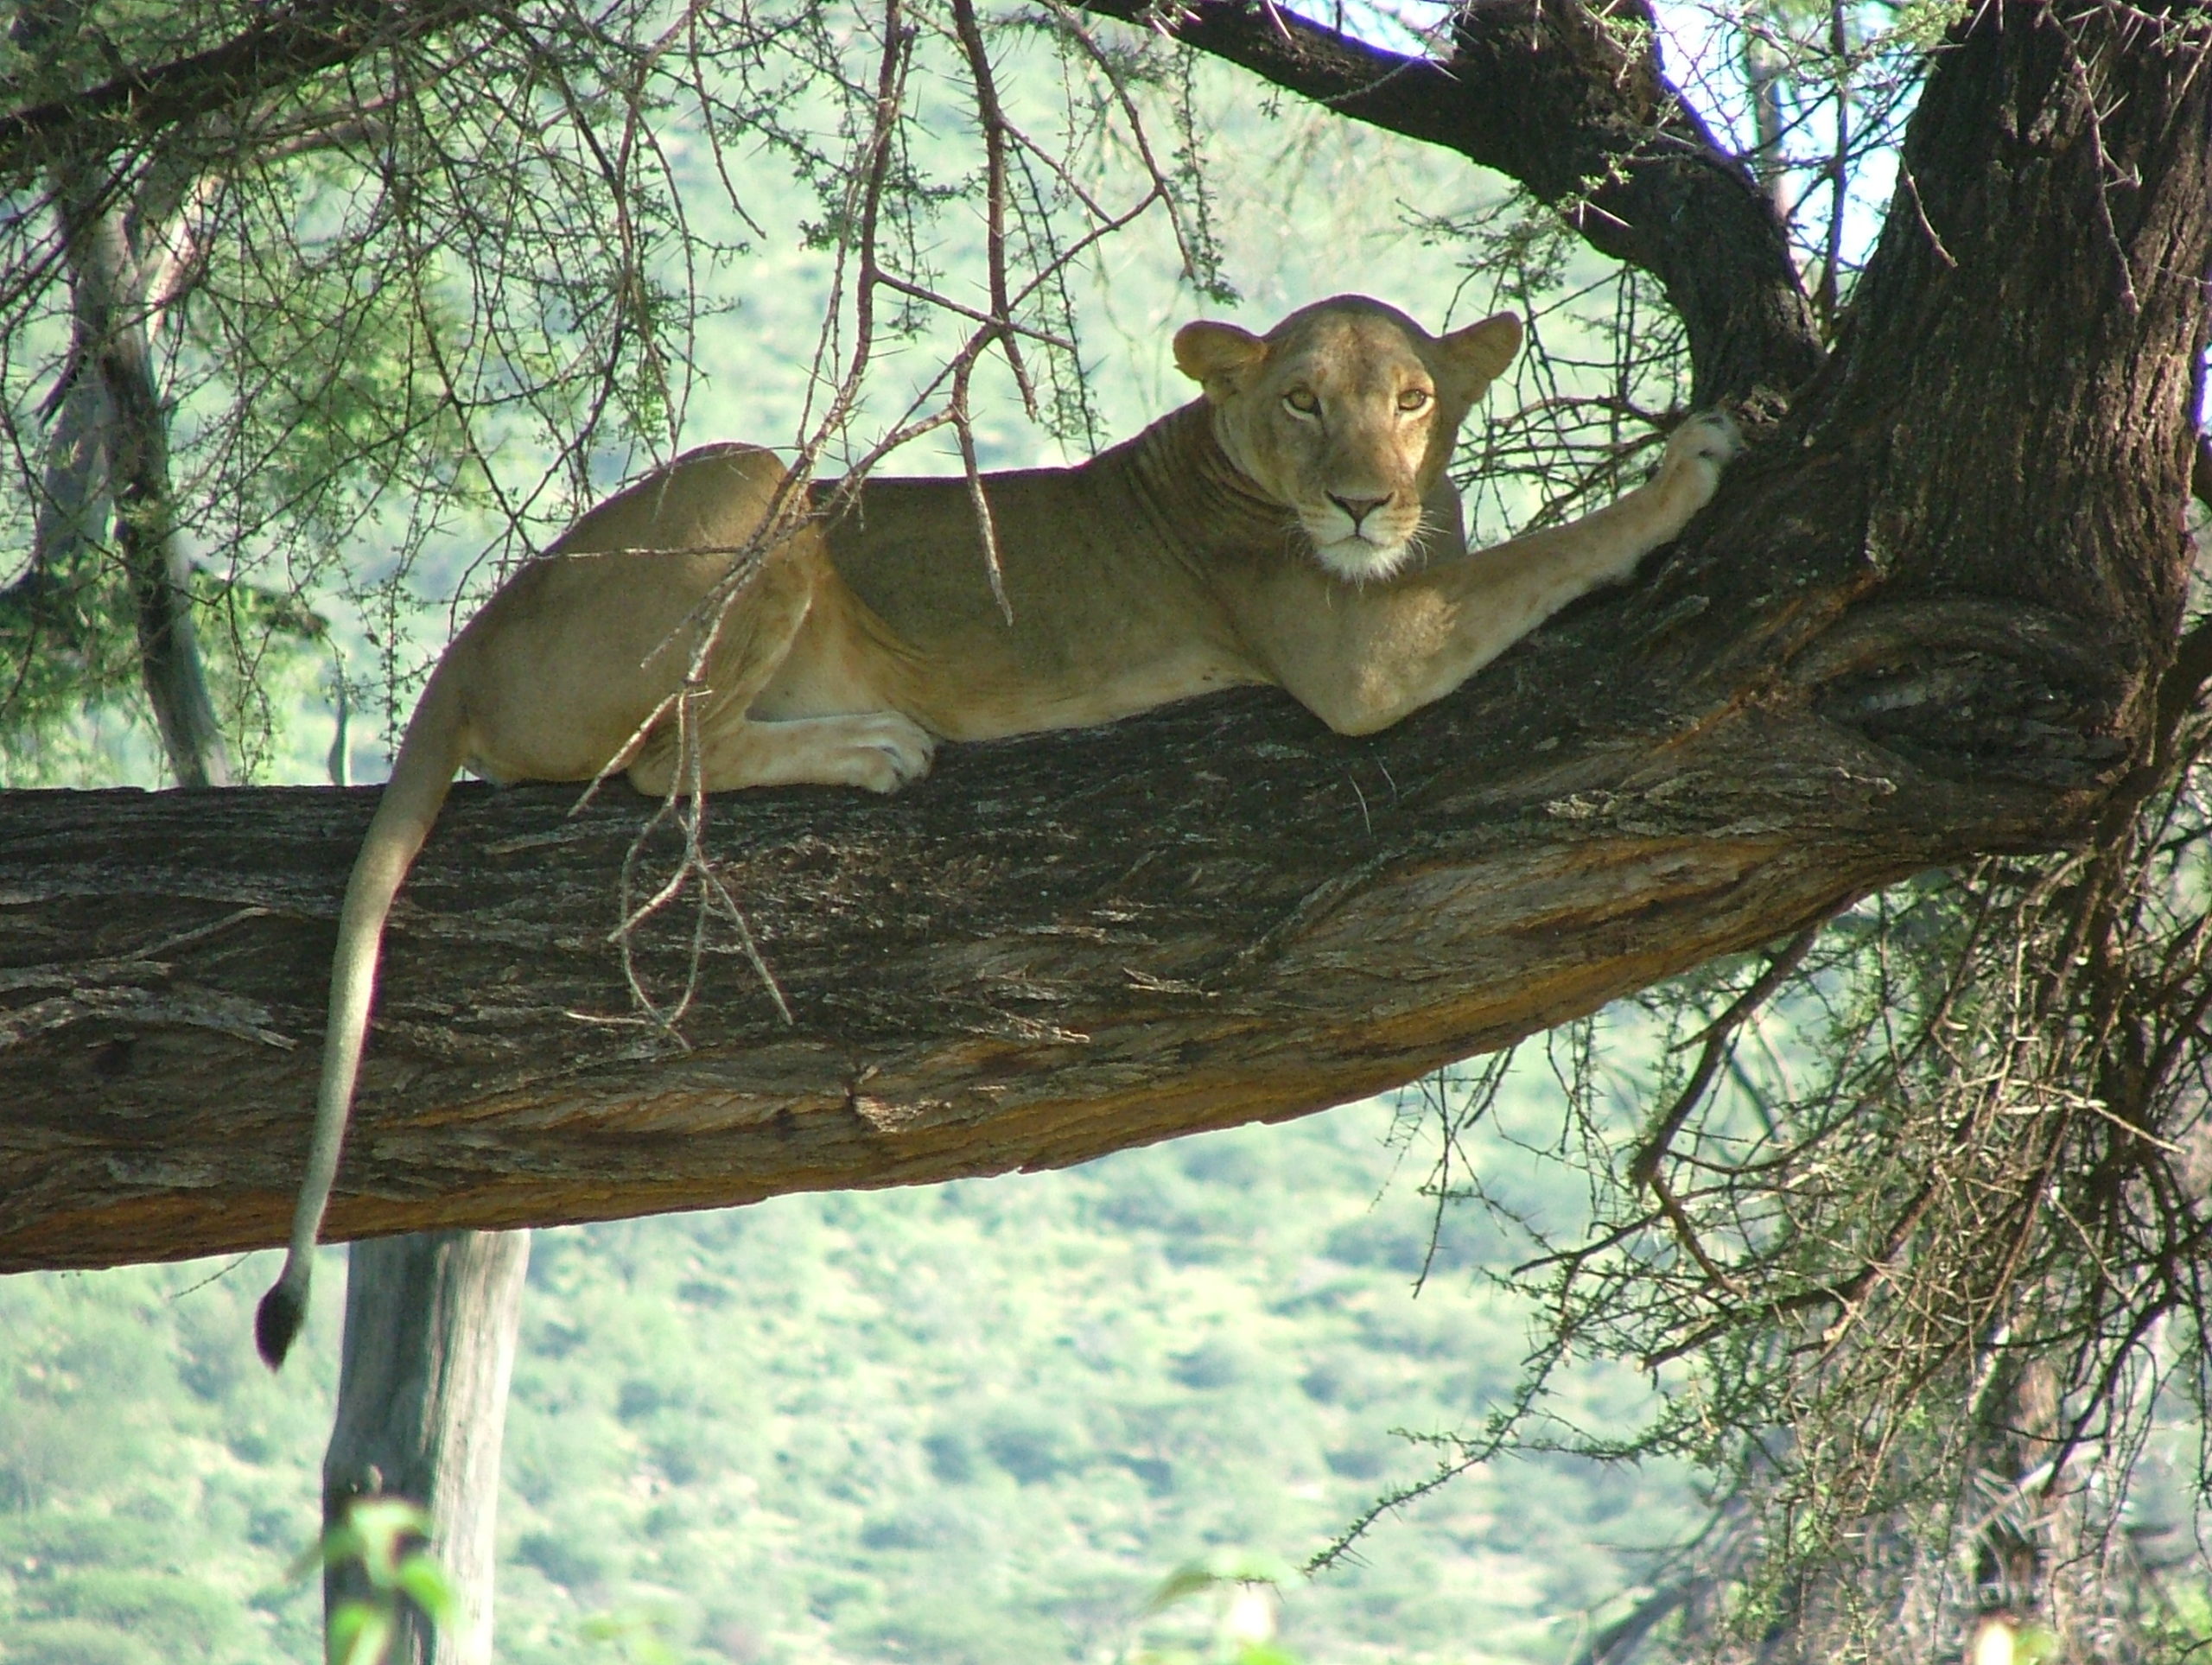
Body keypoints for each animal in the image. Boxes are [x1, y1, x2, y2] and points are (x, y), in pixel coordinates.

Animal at [256, 294, 1737, 1367]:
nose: (1364, 501)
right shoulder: (1362, 660)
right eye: (1305, 400)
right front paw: (1688, 469)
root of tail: (476, 631)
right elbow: (1551, 548)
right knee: (663, 764)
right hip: (764, 488)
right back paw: (878, 744)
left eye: (1416, 400)